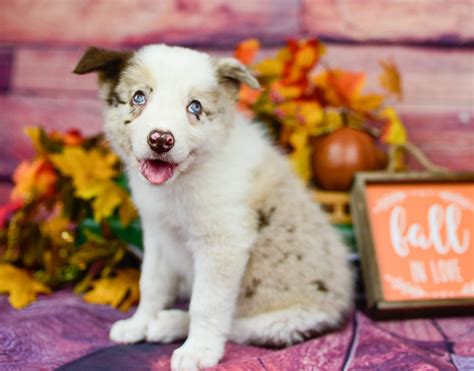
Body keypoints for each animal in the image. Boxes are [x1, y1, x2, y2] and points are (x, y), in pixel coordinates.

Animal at [74, 45, 354, 370]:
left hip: (281, 320)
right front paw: (138, 323)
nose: (160, 140)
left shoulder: (222, 244)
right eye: (139, 98)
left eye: (195, 107)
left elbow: (206, 304)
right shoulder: (157, 235)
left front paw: (198, 351)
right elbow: (151, 284)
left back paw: (172, 325)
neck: (181, 181)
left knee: (236, 325)